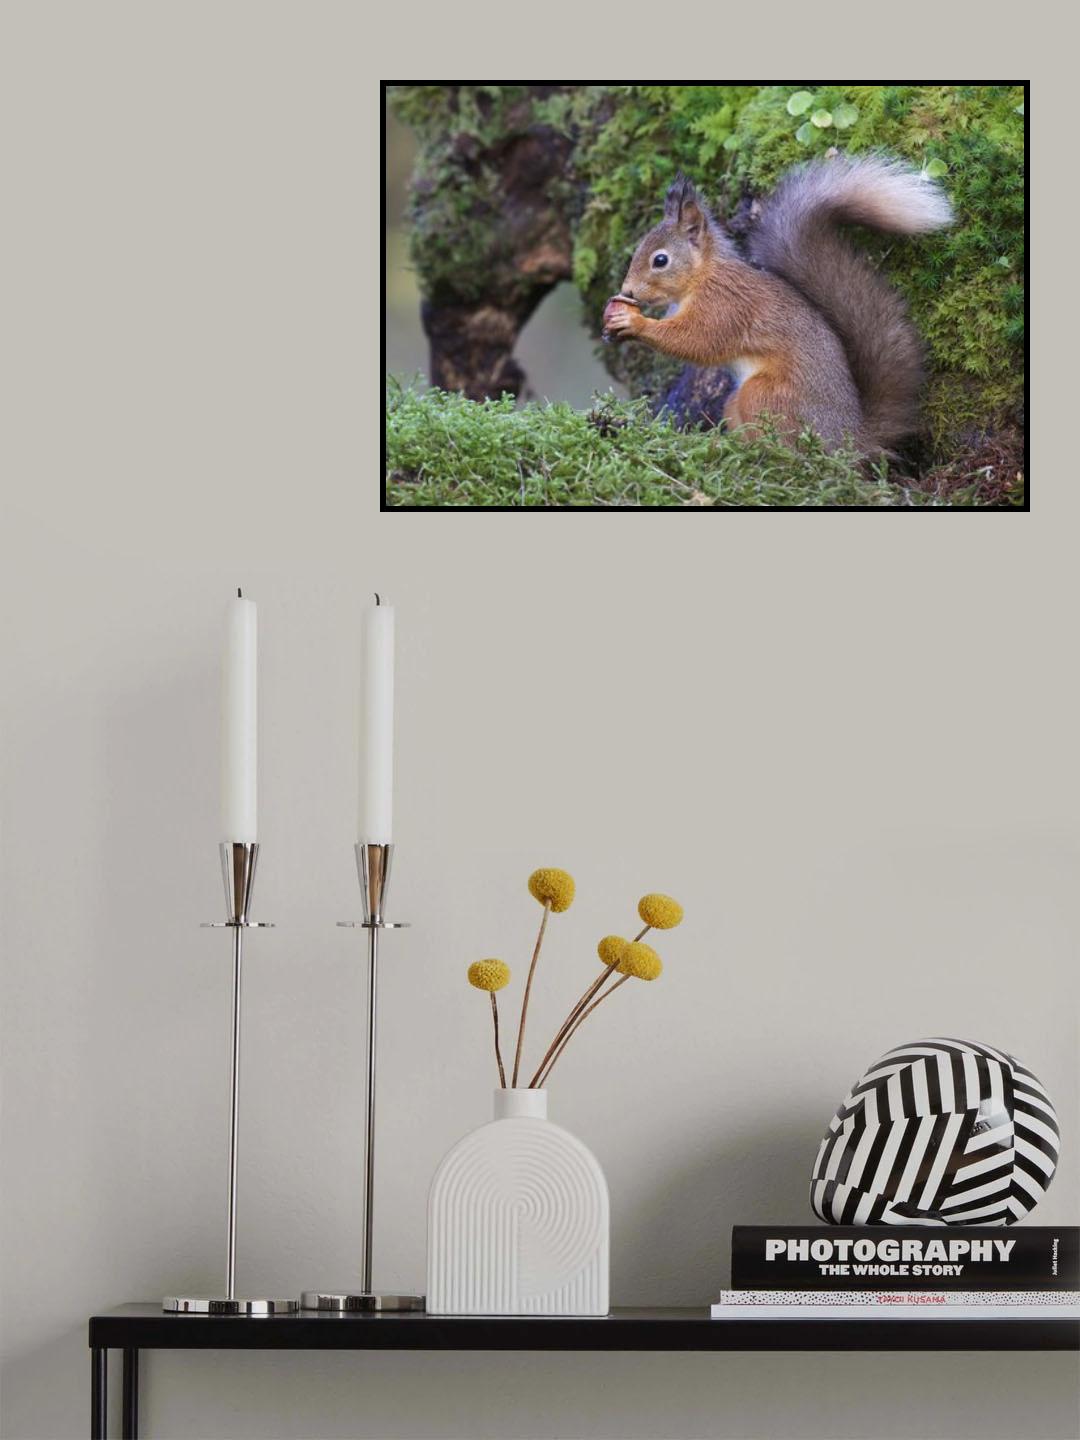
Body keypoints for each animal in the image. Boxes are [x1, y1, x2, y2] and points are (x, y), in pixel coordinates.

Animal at [601, 156, 953, 453]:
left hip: (764, 396)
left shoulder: (726, 305)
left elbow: (698, 341)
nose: (627, 290)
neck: (702, 277)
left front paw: (635, 323)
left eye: (660, 260)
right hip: (737, 402)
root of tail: (848, 440)